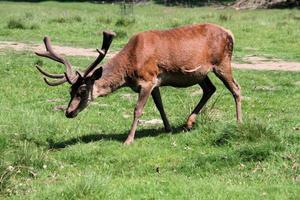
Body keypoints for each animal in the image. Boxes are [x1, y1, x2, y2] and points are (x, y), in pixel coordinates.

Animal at [35, 23, 241, 145]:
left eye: (83, 90)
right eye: (70, 90)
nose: (68, 112)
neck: (129, 70)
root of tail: (230, 33)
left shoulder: (147, 80)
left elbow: (138, 110)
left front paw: (128, 139)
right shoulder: (155, 82)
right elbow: (160, 106)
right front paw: (168, 129)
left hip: (222, 62)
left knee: (236, 89)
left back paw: (239, 122)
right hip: (200, 73)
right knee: (210, 89)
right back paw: (188, 123)